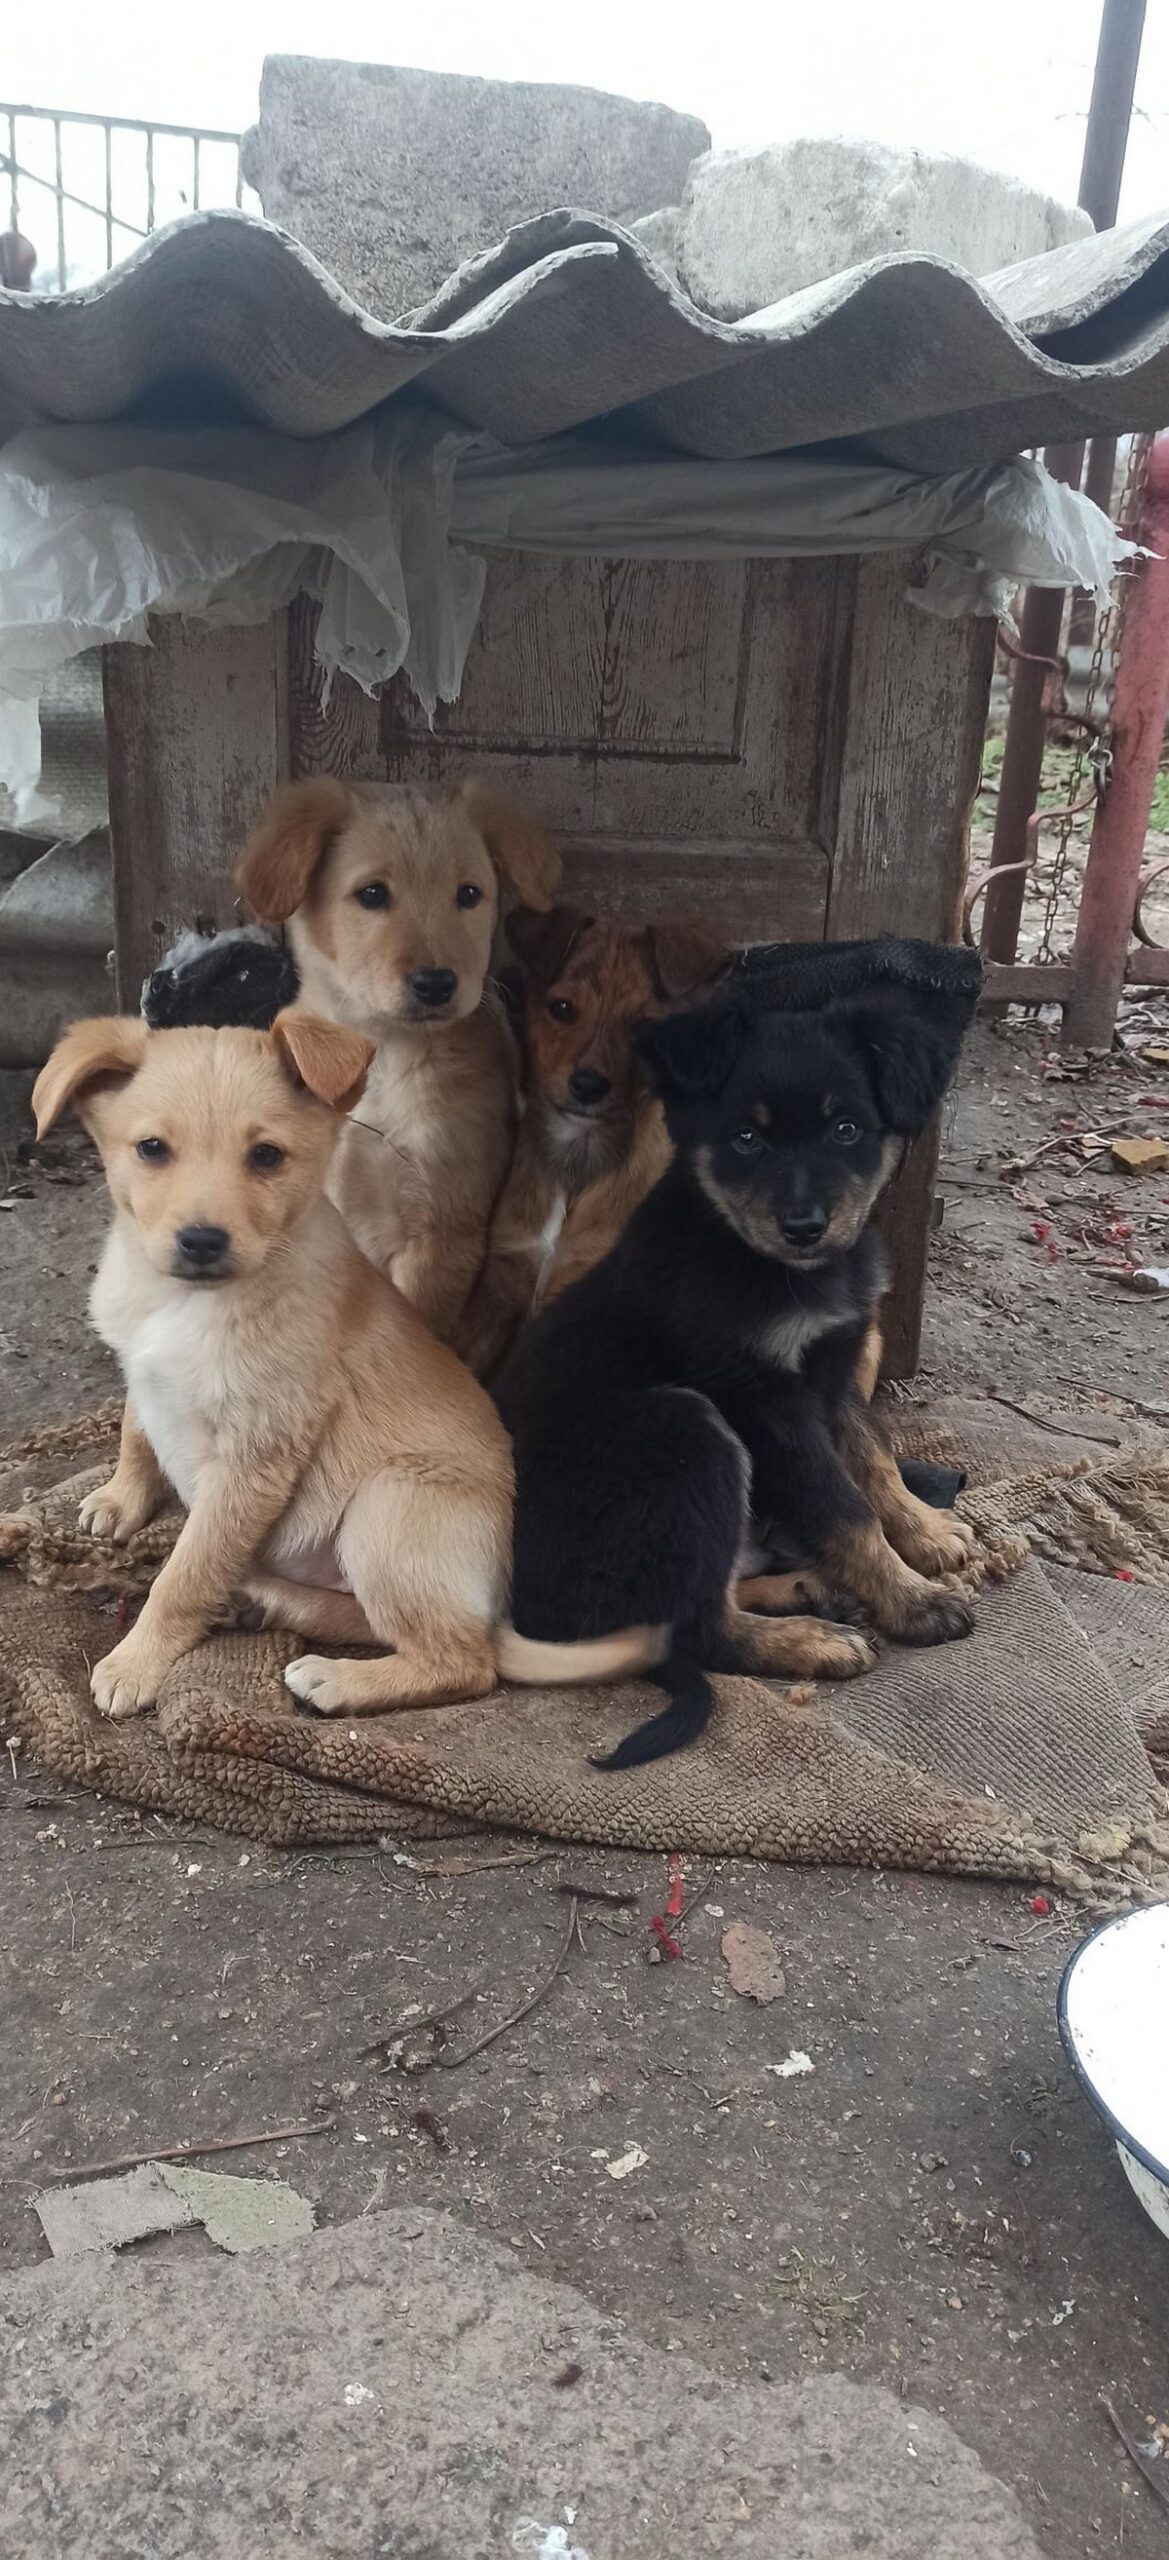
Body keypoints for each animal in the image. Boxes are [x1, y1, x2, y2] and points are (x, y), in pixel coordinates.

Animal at [31, 1013, 511, 1720]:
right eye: (151, 1148)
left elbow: (183, 1574)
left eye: (266, 1156)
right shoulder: (144, 1371)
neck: (186, 1302)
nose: (202, 1241)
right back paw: (267, 1602)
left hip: (387, 1504)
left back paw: (337, 1680)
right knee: (372, 1618)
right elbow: (135, 1431)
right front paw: (120, 1499)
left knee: (466, 1662)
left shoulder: (252, 1458)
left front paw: (135, 1663)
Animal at [491, 967, 977, 1771]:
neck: (768, 1266)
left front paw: (925, 1536)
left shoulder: (834, 1376)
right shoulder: (764, 1401)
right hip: (683, 1427)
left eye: (846, 1130)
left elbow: (874, 1467)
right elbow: (842, 1505)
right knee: (696, 1629)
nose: (805, 1227)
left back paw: (806, 1589)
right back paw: (809, 1640)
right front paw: (911, 1600)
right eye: (745, 1139)